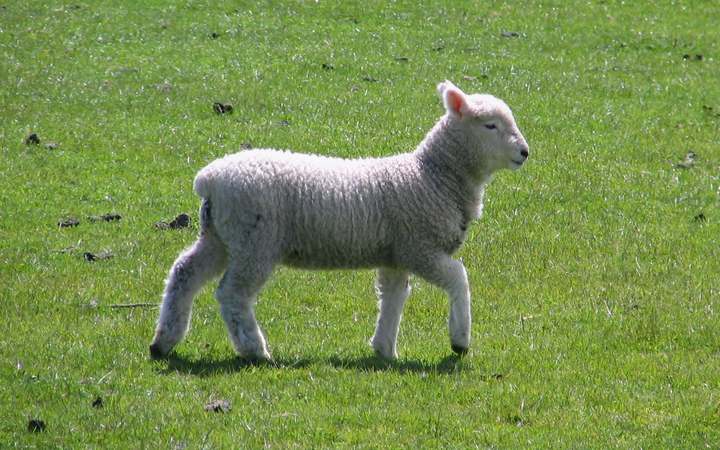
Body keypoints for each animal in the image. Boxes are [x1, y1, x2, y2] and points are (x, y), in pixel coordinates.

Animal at [149, 80, 528, 362]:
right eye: (491, 125)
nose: (525, 152)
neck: (432, 175)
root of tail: (210, 178)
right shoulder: (419, 248)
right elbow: (459, 278)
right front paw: (460, 340)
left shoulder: (395, 255)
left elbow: (394, 297)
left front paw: (384, 349)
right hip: (255, 239)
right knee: (233, 294)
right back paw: (254, 349)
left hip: (221, 235)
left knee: (184, 272)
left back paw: (163, 341)